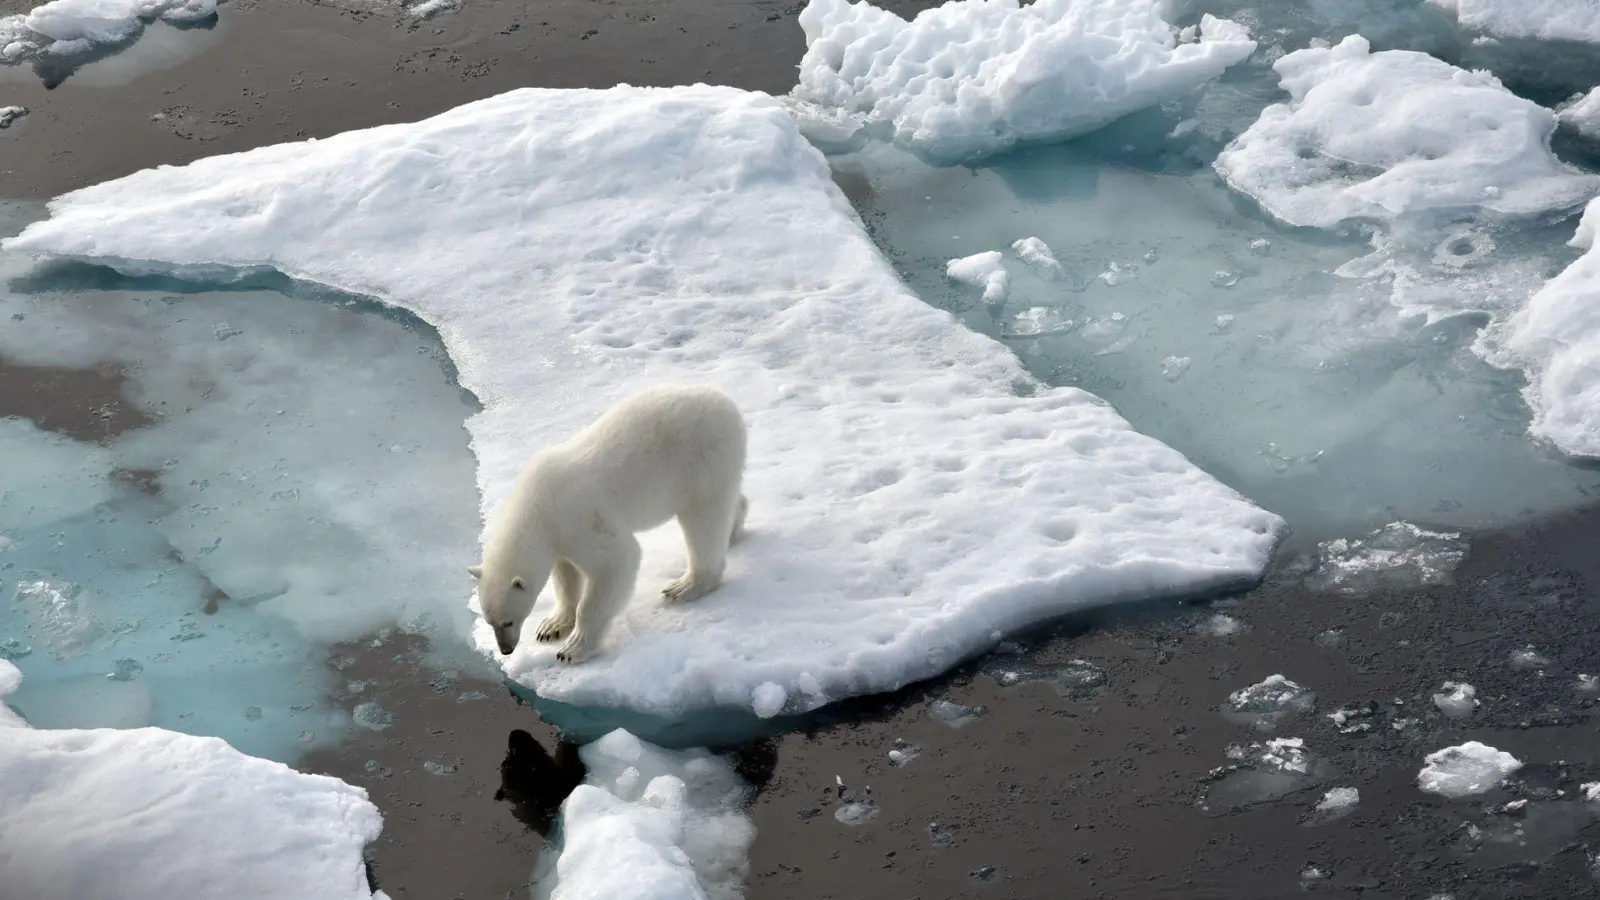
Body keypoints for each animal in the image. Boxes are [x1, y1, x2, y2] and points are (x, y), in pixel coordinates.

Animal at [467, 381, 748, 662]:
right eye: (490, 621)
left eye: (508, 621)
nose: (506, 649)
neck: (536, 507)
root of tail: (727, 403)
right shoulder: (559, 536)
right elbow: (566, 576)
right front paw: (551, 626)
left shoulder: (579, 517)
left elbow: (616, 561)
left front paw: (573, 648)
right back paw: (733, 529)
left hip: (702, 459)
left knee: (704, 520)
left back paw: (685, 586)